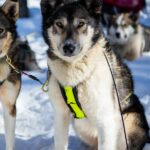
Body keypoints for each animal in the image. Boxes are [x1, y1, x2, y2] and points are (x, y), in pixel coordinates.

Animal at [40, 0, 149, 149]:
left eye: (81, 24)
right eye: (59, 24)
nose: (68, 47)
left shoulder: (105, 120)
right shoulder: (60, 115)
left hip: (126, 124)